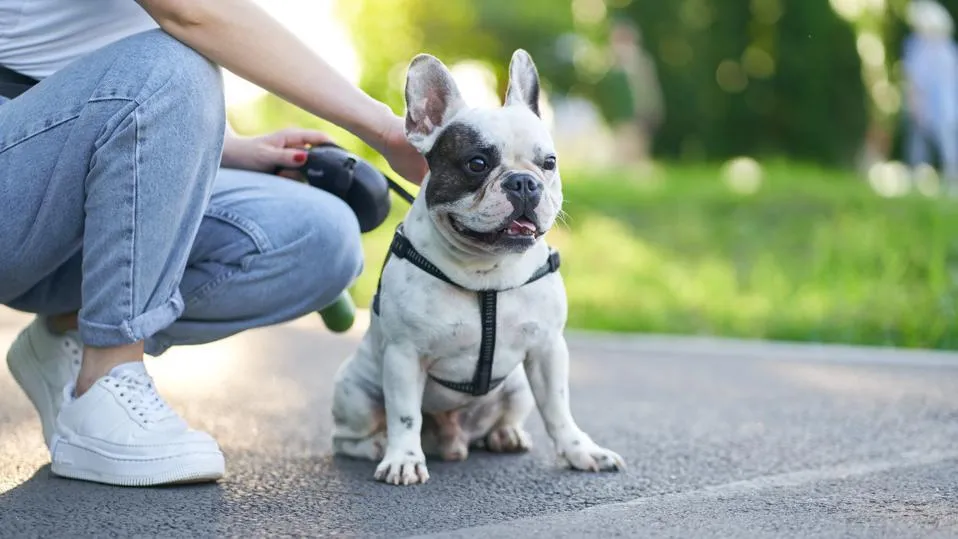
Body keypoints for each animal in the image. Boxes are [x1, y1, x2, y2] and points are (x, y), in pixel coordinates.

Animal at [334, 50, 628, 488]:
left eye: (549, 163)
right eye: (477, 163)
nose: (523, 182)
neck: (487, 272)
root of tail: (452, 440)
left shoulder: (548, 350)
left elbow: (559, 410)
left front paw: (581, 451)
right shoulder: (404, 356)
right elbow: (404, 414)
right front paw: (403, 459)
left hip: (517, 387)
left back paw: (505, 435)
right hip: (353, 391)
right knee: (349, 436)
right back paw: (375, 446)